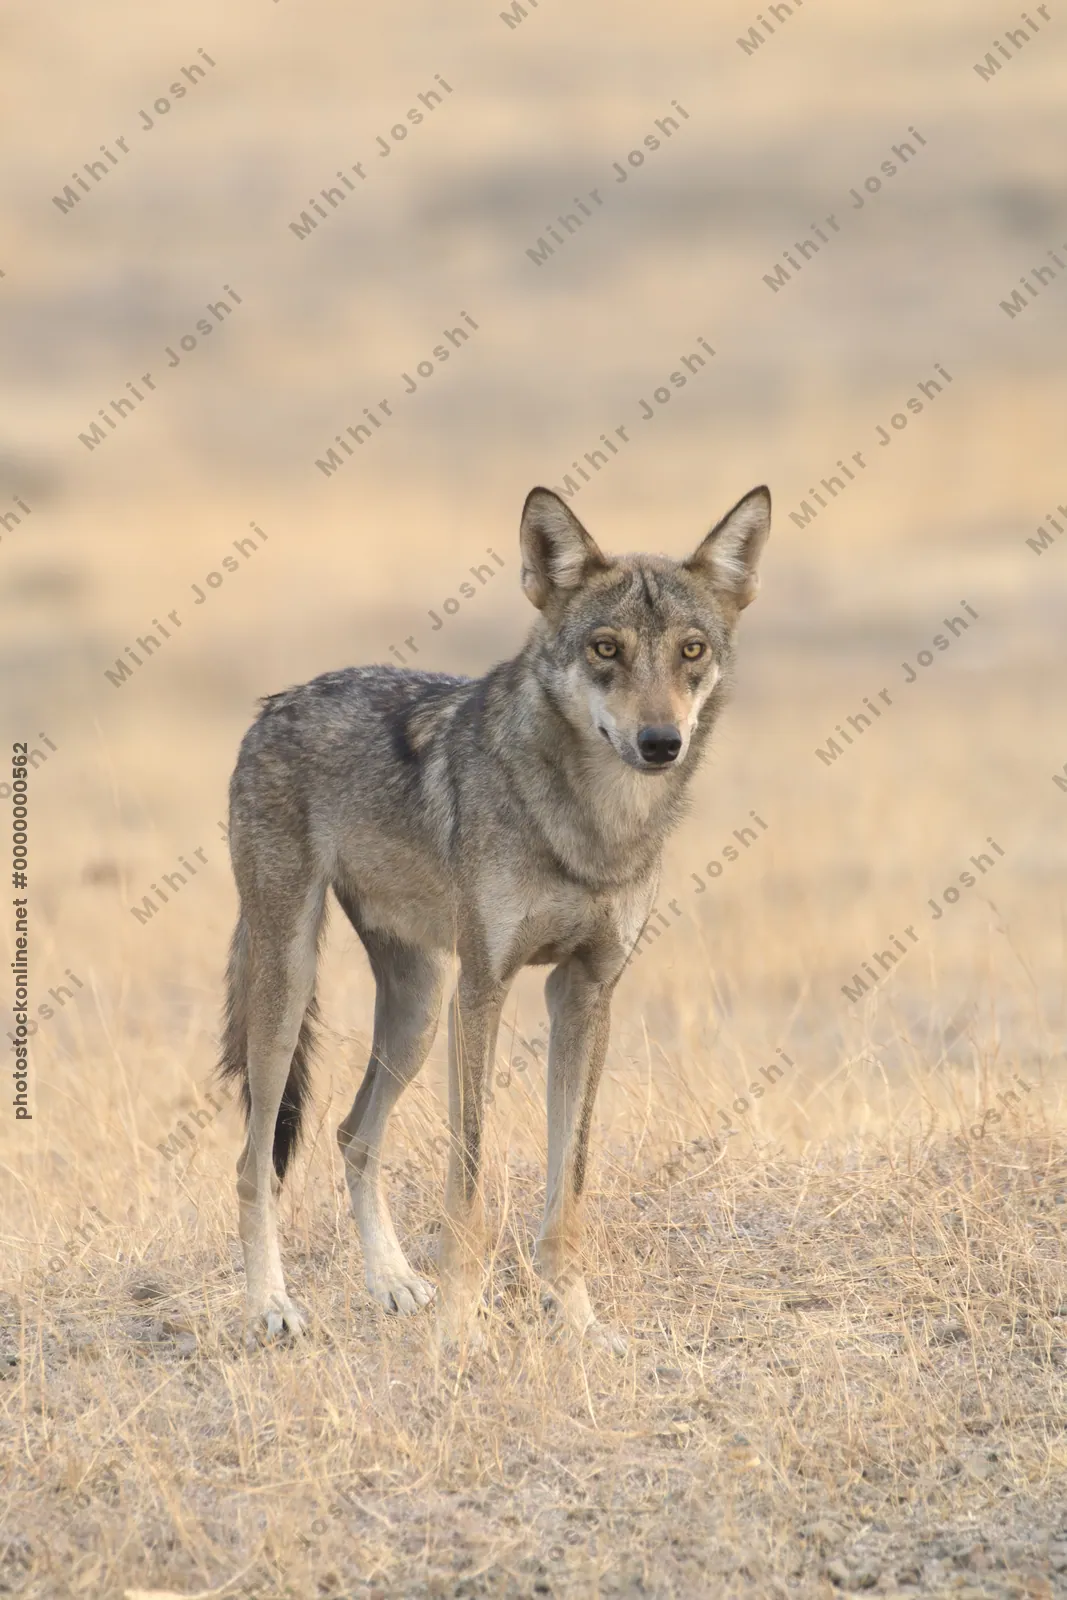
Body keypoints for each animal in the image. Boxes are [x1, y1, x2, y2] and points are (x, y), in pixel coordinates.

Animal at [219, 483, 771, 1349]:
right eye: (605, 649)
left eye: (690, 651)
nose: (660, 742)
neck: (591, 827)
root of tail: (273, 706)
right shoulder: (483, 990)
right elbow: (468, 1176)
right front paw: (459, 1328)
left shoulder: (585, 993)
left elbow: (568, 1178)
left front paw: (576, 1322)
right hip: (294, 989)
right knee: (254, 1160)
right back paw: (271, 1307)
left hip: (415, 1012)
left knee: (352, 1135)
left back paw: (392, 1282)